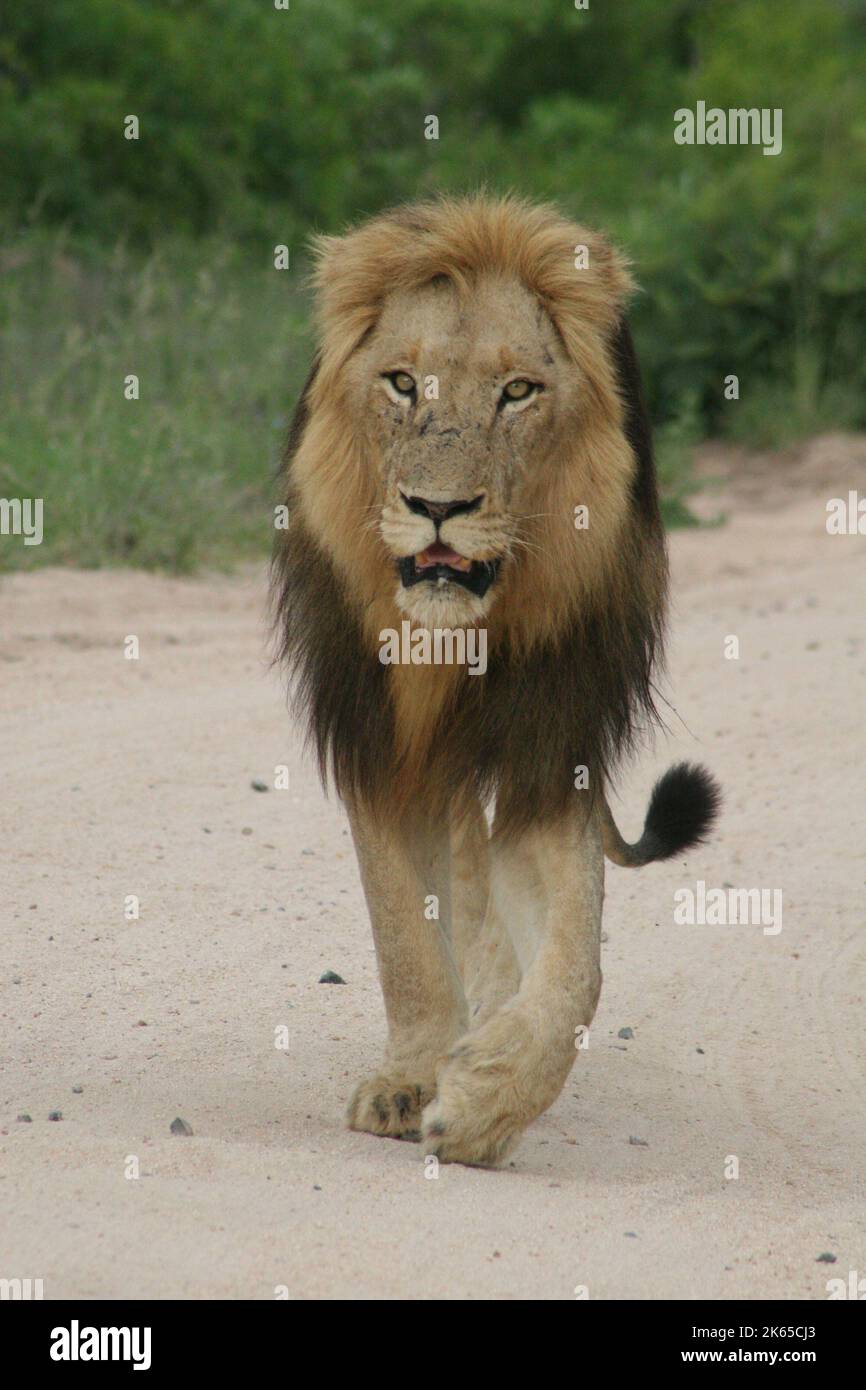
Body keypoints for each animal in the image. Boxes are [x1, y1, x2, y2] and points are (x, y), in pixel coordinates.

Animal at [272, 194, 720, 1166]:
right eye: (403, 383)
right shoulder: (378, 742)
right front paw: (412, 1081)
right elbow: (403, 931)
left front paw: (487, 1098)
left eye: (518, 392)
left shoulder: (549, 753)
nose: (439, 509)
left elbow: (577, 968)